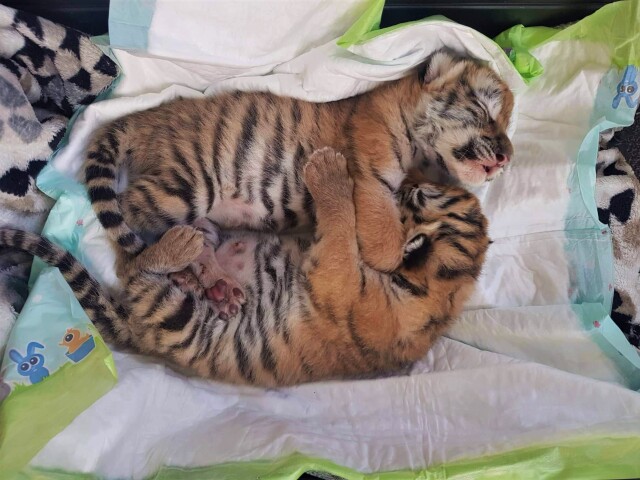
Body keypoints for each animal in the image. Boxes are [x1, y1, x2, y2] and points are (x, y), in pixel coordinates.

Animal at [0, 148, 489, 387]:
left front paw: (329, 171)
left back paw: (182, 250)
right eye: (432, 189)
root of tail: (135, 332)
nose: (417, 177)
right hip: (207, 242)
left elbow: (343, 223)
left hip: (175, 317)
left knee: (140, 272)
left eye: (421, 195)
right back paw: (201, 261)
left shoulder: (336, 275)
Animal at [84, 49, 512, 316]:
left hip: (195, 213)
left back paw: (215, 287)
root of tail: (143, 118)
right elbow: (385, 247)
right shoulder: (372, 183)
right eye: (485, 110)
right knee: (126, 248)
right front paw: (402, 247)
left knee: (194, 241)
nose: (507, 156)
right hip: (183, 187)